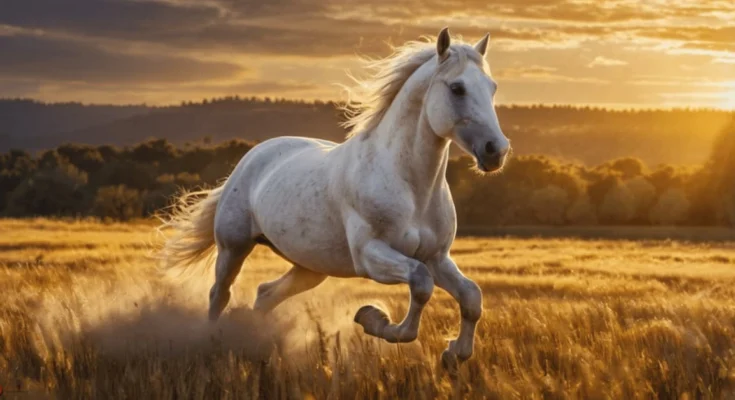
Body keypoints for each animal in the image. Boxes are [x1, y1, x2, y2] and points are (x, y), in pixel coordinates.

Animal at [160, 27, 511, 368]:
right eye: (457, 88)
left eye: (493, 88)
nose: (497, 151)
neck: (411, 188)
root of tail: (252, 156)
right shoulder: (370, 255)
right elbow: (420, 286)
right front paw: (373, 318)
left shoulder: (436, 257)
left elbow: (471, 297)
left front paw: (454, 355)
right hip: (233, 247)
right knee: (219, 294)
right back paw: (213, 343)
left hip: (310, 266)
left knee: (265, 294)